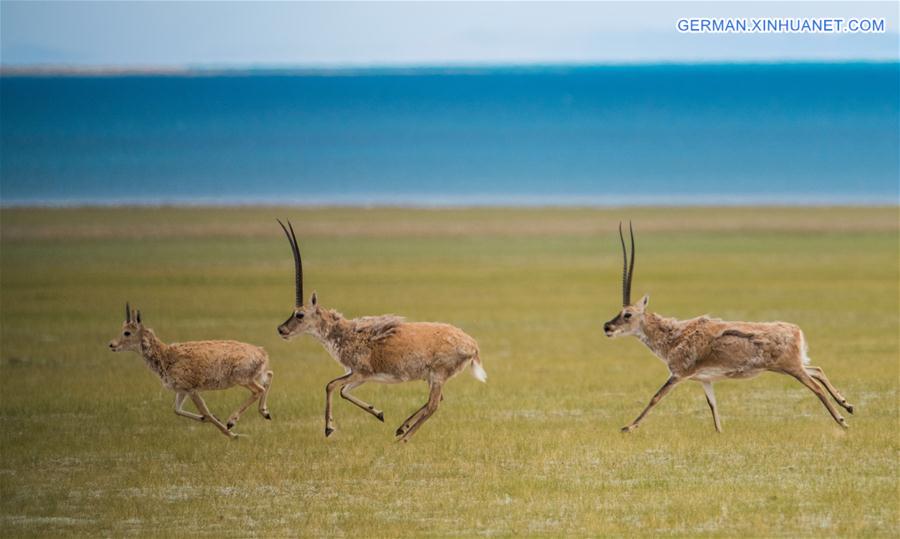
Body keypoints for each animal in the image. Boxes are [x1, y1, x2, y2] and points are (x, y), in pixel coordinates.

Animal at [108, 304, 274, 438]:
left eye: (127, 332)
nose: (111, 344)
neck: (166, 356)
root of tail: (262, 353)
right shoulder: (182, 390)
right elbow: (177, 410)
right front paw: (210, 419)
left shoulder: (191, 389)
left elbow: (204, 411)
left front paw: (232, 435)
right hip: (254, 376)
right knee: (269, 376)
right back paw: (265, 413)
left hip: (242, 379)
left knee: (258, 389)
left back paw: (231, 421)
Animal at [275, 220, 486, 442]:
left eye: (299, 314)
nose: (281, 329)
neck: (347, 333)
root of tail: (471, 344)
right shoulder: (361, 376)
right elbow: (343, 391)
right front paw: (379, 413)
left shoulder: (361, 372)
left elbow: (331, 385)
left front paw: (329, 428)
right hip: (432, 378)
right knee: (436, 401)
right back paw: (401, 428)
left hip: (437, 375)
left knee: (433, 405)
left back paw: (403, 439)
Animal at [605, 223, 853, 433]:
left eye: (627, 314)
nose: (607, 327)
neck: (674, 335)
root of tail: (795, 330)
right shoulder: (705, 380)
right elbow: (712, 405)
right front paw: (720, 431)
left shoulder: (678, 375)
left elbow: (655, 397)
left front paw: (628, 427)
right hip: (787, 367)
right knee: (817, 369)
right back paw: (847, 405)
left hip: (791, 368)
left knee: (816, 386)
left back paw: (842, 420)